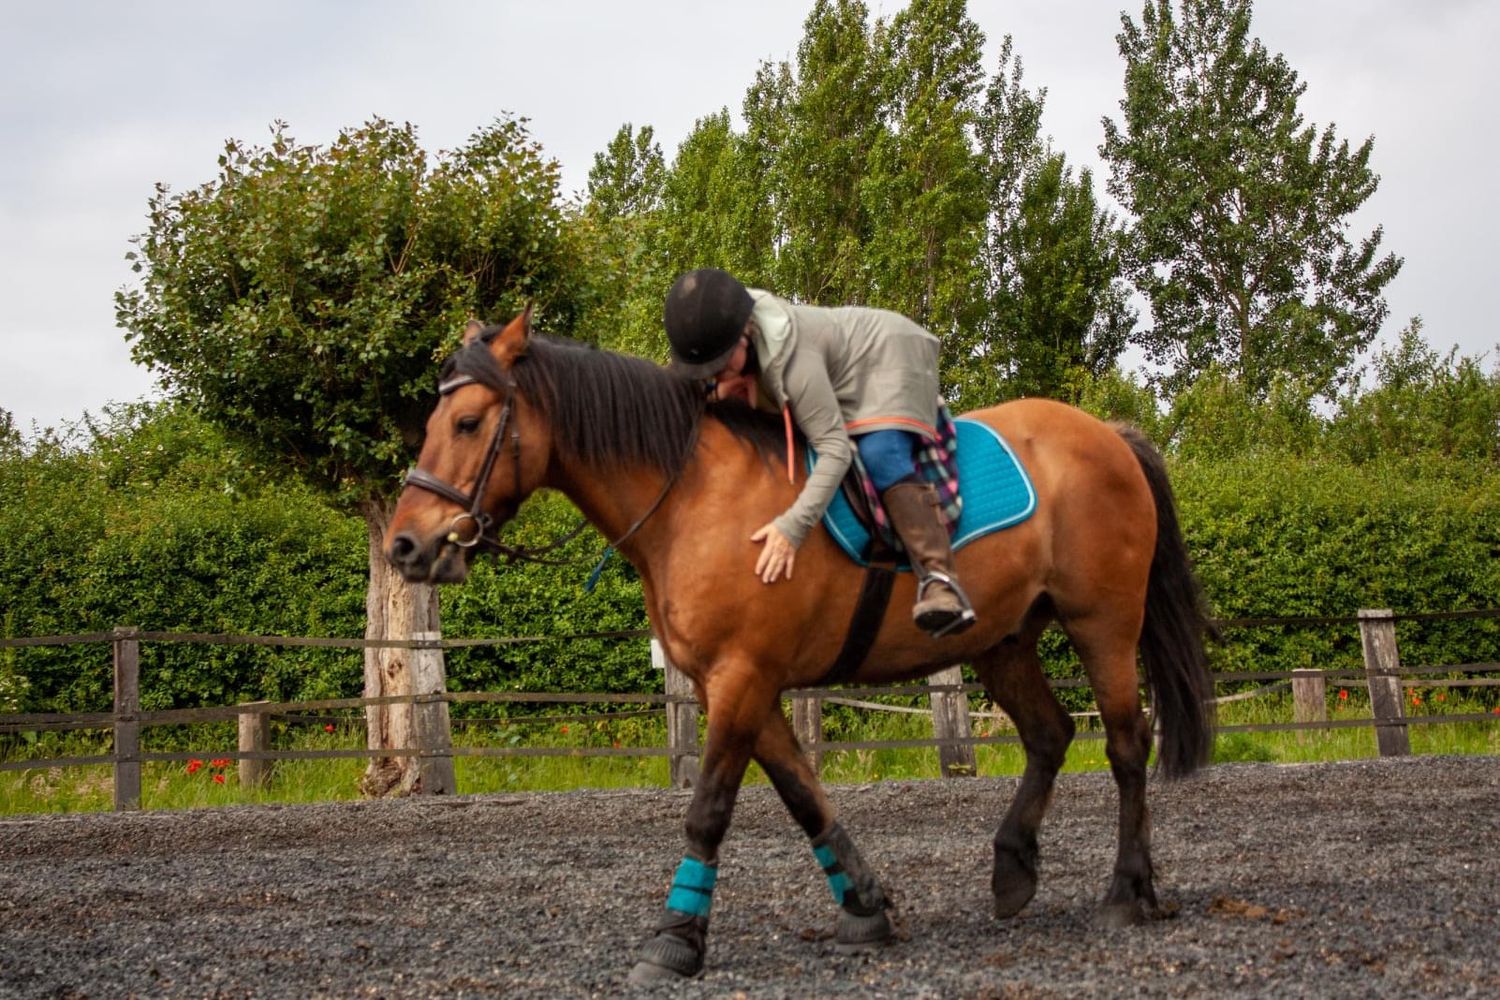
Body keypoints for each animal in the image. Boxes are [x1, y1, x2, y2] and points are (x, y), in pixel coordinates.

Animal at [385, 309, 1215, 983]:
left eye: (467, 423)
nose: (405, 545)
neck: (695, 498)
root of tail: (1110, 434)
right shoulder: (738, 684)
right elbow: (802, 794)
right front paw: (865, 906)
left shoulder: (742, 677)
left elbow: (711, 809)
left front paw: (676, 938)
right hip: (1003, 638)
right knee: (1049, 735)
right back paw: (1016, 870)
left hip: (1102, 622)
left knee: (1126, 744)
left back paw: (1127, 890)